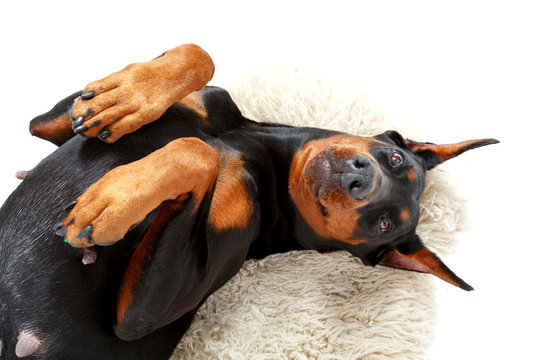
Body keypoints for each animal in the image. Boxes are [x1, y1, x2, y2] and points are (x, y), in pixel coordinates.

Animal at [0, 45, 498, 360]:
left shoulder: (139, 315)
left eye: (383, 224)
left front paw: (108, 205)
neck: (254, 145)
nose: (361, 179)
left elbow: (197, 153)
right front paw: (123, 97)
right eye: (395, 159)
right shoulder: (55, 125)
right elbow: (199, 55)